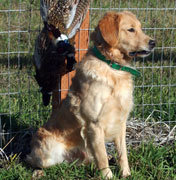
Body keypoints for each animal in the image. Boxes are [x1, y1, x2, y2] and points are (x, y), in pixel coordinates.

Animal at [26, 11, 155, 179]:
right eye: (131, 29)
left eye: (140, 28)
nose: (153, 43)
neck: (113, 67)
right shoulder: (94, 124)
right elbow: (101, 157)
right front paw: (108, 176)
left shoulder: (120, 122)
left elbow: (122, 153)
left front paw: (126, 174)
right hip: (48, 150)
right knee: (33, 160)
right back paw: (38, 172)